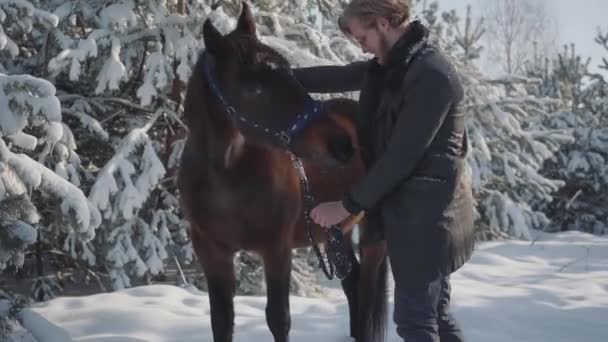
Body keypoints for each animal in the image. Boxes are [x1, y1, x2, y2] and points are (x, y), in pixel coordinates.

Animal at [177, 2, 384, 340]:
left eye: (291, 74)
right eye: (254, 89)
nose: (342, 145)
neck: (227, 177)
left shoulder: (277, 249)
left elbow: (278, 317)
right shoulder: (213, 254)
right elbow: (222, 319)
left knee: (367, 292)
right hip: (337, 233)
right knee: (352, 284)